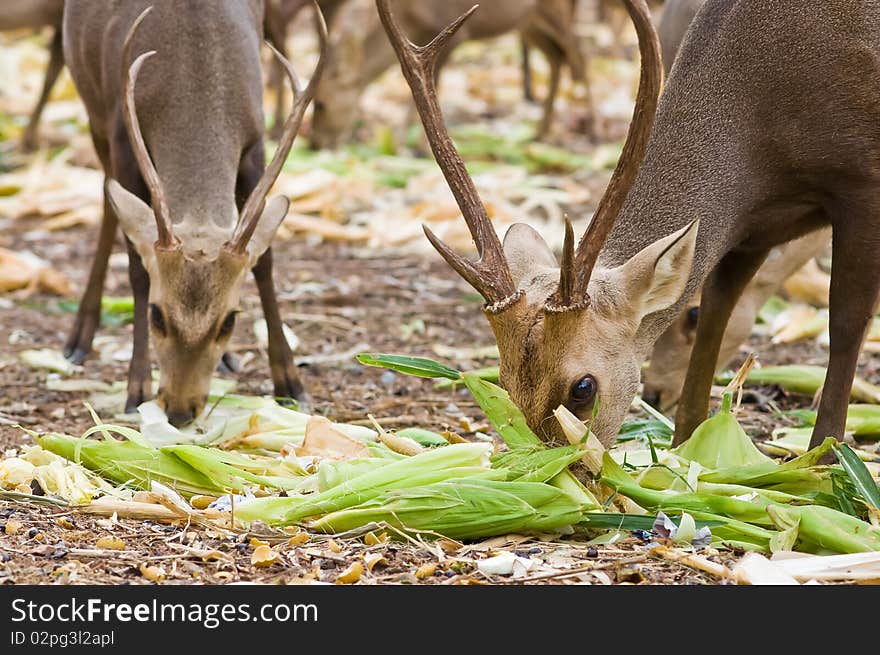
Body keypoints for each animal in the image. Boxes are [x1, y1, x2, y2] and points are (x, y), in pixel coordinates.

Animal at [62, 0, 326, 428]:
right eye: (156, 315)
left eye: (230, 319)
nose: (180, 410)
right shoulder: (121, 134)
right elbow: (137, 270)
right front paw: (136, 389)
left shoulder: (254, 142)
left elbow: (265, 259)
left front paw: (290, 382)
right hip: (94, 112)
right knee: (107, 201)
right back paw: (79, 338)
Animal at [308, 0, 584, 149]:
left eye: (320, 103)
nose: (315, 143)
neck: (409, 15)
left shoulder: (451, 35)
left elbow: (432, 85)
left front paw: (407, 143)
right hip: (528, 22)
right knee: (556, 58)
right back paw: (541, 130)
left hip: (552, 10)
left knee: (579, 54)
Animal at [380, 0, 880, 456]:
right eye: (502, 380)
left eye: (583, 388)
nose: (570, 475)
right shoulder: (752, 226)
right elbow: (717, 312)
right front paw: (686, 447)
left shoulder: (863, 183)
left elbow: (845, 322)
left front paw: (826, 457)